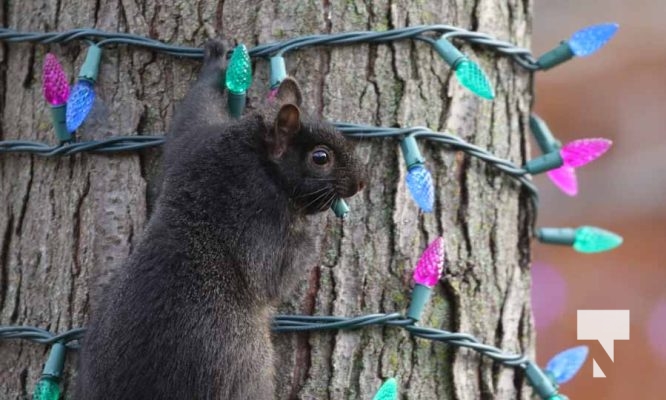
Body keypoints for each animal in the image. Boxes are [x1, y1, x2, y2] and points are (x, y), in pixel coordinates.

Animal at [74, 39, 366, 399]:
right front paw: (317, 228)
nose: (361, 182)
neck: (251, 156)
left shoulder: (193, 144)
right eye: (320, 157)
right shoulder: (260, 222)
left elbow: (194, 111)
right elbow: (276, 276)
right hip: (244, 374)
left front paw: (215, 65)